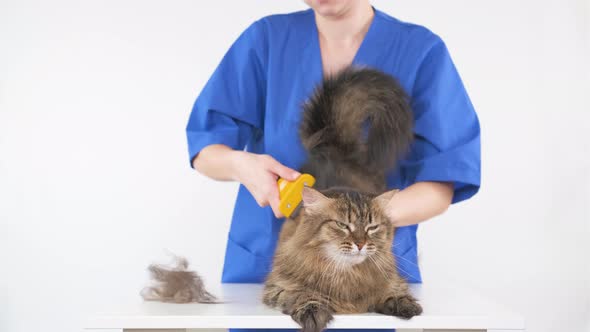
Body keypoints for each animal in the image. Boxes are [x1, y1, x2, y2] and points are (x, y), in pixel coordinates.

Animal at [262, 65, 424, 332]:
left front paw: (404, 303)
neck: (347, 275)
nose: (360, 243)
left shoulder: (392, 280)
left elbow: (392, 291)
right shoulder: (277, 287)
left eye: (371, 227)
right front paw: (314, 312)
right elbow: (302, 294)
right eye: (342, 225)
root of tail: (336, 148)